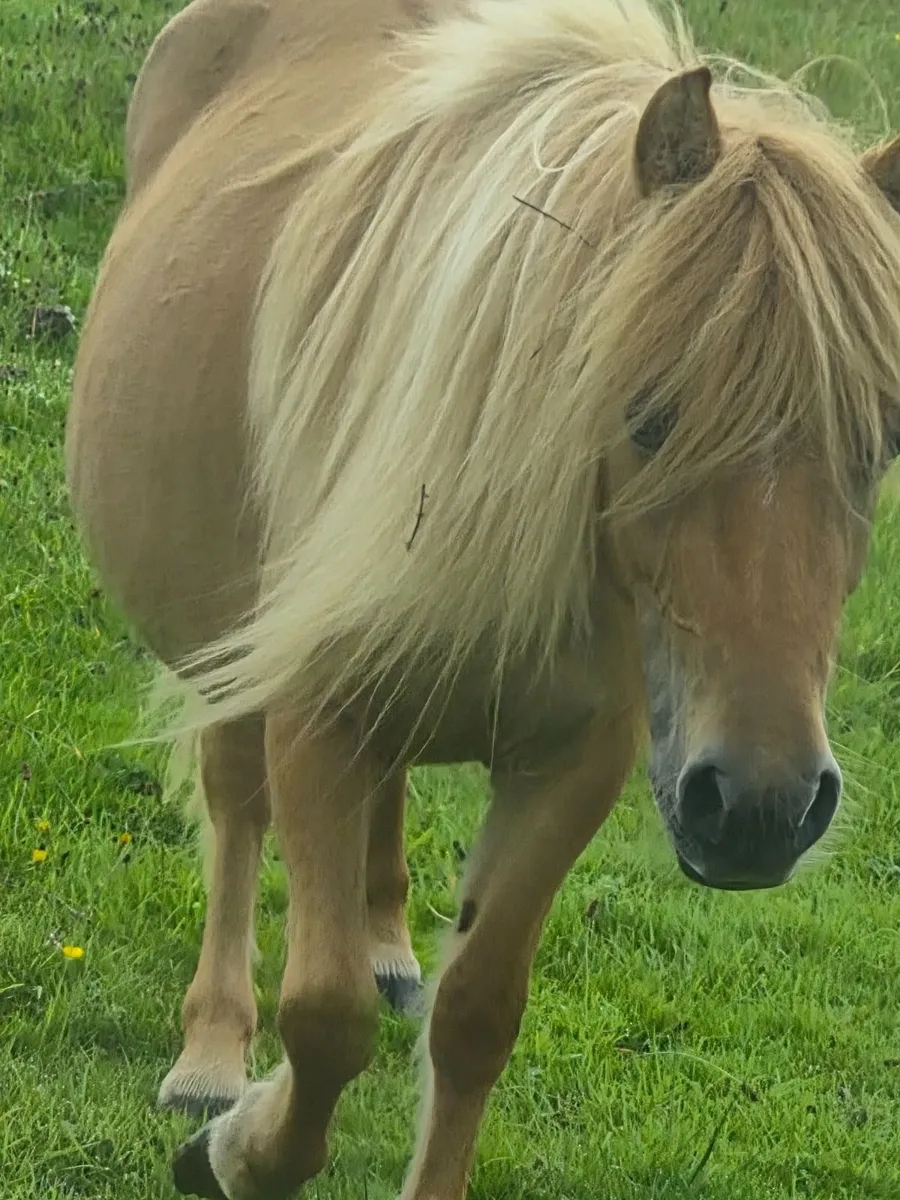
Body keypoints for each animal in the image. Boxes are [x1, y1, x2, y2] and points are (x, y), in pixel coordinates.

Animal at [65, 0, 900, 1195]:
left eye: (880, 443)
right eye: (646, 415)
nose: (760, 808)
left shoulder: (572, 767)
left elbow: (474, 1019)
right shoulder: (315, 718)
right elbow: (322, 1017)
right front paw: (237, 1148)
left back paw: (384, 946)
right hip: (225, 643)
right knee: (234, 806)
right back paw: (212, 1057)